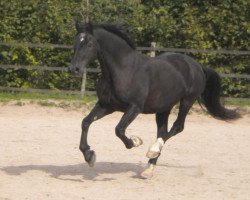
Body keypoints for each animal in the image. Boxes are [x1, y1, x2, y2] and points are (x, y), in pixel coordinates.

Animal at [69, 23, 240, 178]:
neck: (124, 70)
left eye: (89, 44)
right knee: (163, 131)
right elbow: (85, 122)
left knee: (177, 127)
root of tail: (197, 66)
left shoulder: (135, 107)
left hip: (187, 101)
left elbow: (119, 130)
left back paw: (153, 150)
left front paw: (136, 141)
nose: (74, 70)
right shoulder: (106, 105)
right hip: (163, 108)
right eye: (75, 42)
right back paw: (149, 169)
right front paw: (89, 156)